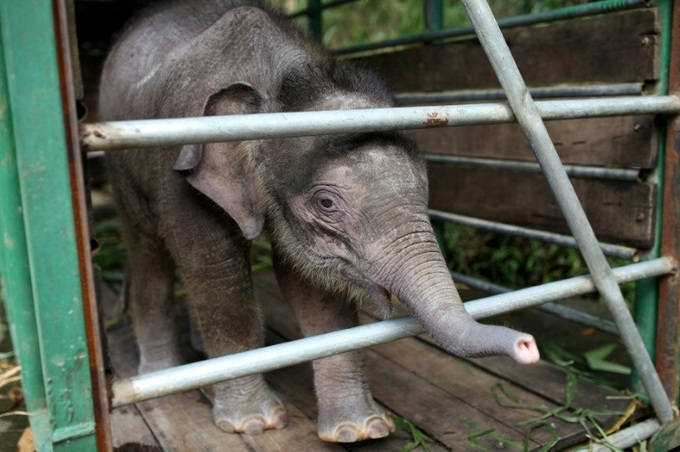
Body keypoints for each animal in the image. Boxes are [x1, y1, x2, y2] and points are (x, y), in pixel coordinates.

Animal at [98, 0, 539, 443]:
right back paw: (165, 373)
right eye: (327, 203)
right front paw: (254, 422)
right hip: (123, 169)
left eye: (425, 187)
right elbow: (216, 271)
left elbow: (314, 286)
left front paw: (360, 431)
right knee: (148, 250)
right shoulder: (182, 170)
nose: (527, 345)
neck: (277, 82)